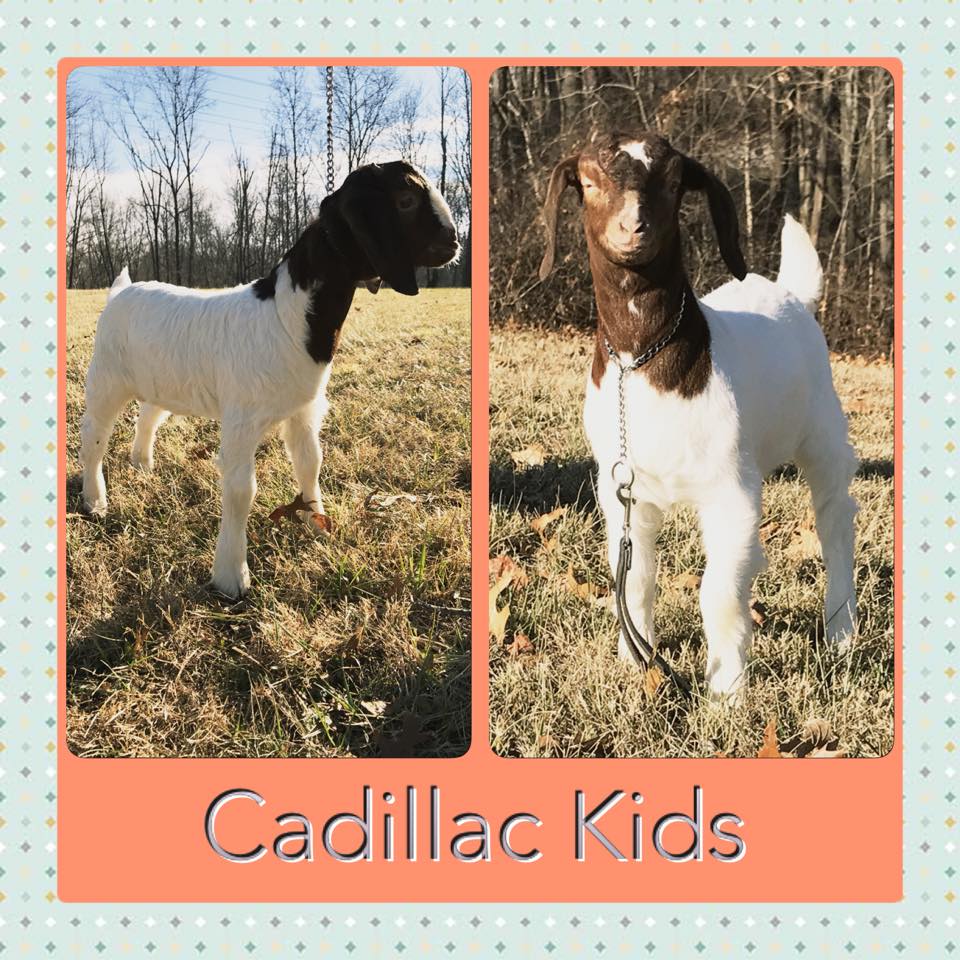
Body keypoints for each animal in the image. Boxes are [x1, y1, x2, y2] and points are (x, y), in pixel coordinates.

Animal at [80, 161, 459, 599]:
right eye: (406, 200)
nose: (454, 242)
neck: (284, 316)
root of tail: (120, 291)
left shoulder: (304, 410)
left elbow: (310, 463)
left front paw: (317, 524)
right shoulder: (242, 420)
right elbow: (241, 489)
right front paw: (231, 578)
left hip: (161, 377)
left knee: (149, 415)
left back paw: (142, 464)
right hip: (106, 376)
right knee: (94, 435)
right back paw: (95, 500)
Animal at [539, 132, 858, 697]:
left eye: (672, 184)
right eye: (590, 182)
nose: (633, 228)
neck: (641, 365)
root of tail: (791, 294)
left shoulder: (732, 491)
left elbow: (720, 591)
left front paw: (727, 688)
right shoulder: (623, 490)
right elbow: (635, 578)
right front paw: (636, 659)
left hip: (821, 429)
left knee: (834, 519)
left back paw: (840, 631)